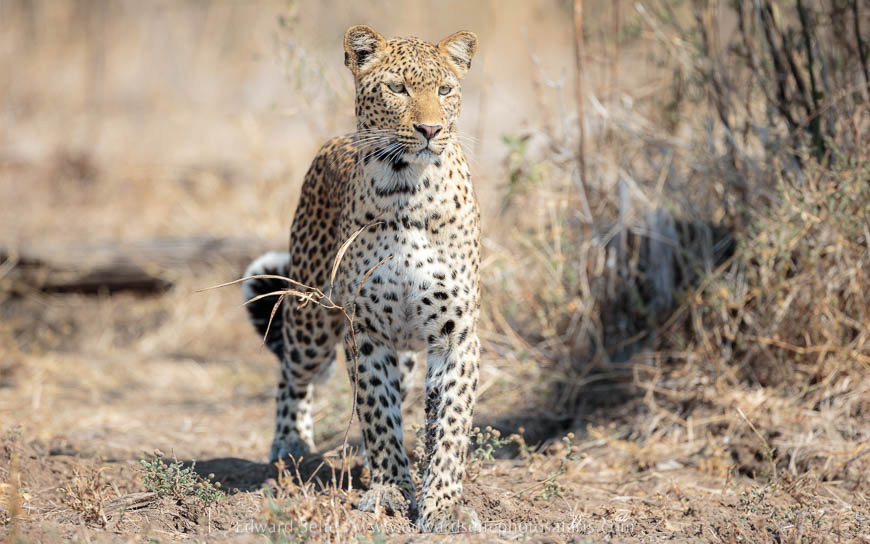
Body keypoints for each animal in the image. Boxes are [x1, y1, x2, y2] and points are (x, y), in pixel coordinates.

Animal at [241, 25, 481, 531]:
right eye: (398, 88)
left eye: (445, 90)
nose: (430, 130)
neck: (409, 189)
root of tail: (333, 141)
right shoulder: (366, 331)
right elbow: (377, 414)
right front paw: (390, 491)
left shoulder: (456, 334)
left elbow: (449, 426)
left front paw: (442, 504)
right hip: (311, 320)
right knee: (292, 372)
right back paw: (291, 445)